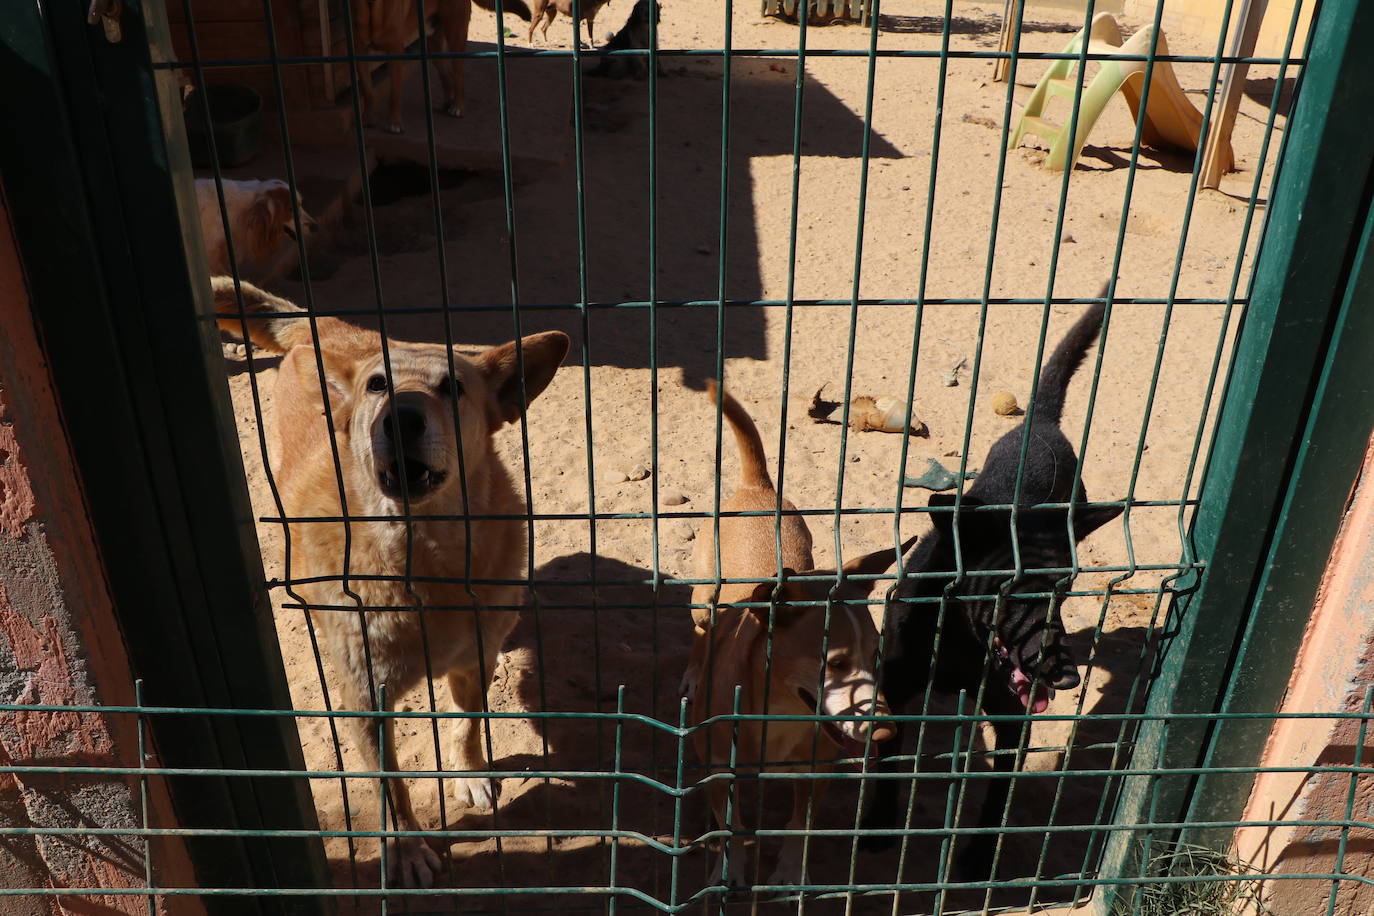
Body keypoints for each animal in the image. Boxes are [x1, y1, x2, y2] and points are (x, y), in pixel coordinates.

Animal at [211, 277, 566, 889]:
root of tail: (329, 329)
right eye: (378, 385)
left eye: (453, 388)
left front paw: (470, 773)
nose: (400, 417)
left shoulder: (475, 658)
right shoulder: (364, 699)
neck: (422, 561)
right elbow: (389, 784)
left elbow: (467, 726)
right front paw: (403, 848)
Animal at [348, 0, 530, 132]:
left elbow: (394, 94)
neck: (372, 8)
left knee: (458, 75)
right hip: (433, 44)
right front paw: (368, 119)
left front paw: (394, 123)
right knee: (447, 75)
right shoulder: (359, 54)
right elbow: (368, 91)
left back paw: (458, 107)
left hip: (455, 36)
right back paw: (447, 102)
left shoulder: (396, 54)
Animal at [687, 381, 912, 889]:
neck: (782, 715)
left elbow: (799, 823)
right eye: (835, 663)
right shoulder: (717, 770)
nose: (886, 732)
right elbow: (732, 826)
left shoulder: (816, 770)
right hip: (700, 597)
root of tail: (758, 488)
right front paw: (730, 871)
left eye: (877, 656)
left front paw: (790, 872)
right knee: (699, 629)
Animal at [862, 287, 1121, 873]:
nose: (1064, 679)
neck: (960, 641)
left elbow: (999, 792)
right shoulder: (893, 685)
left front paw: (979, 857)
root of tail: (1037, 425)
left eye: (1064, 587)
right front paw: (879, 823)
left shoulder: (1012, 713)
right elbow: (886, 757)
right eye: (1009, 588)